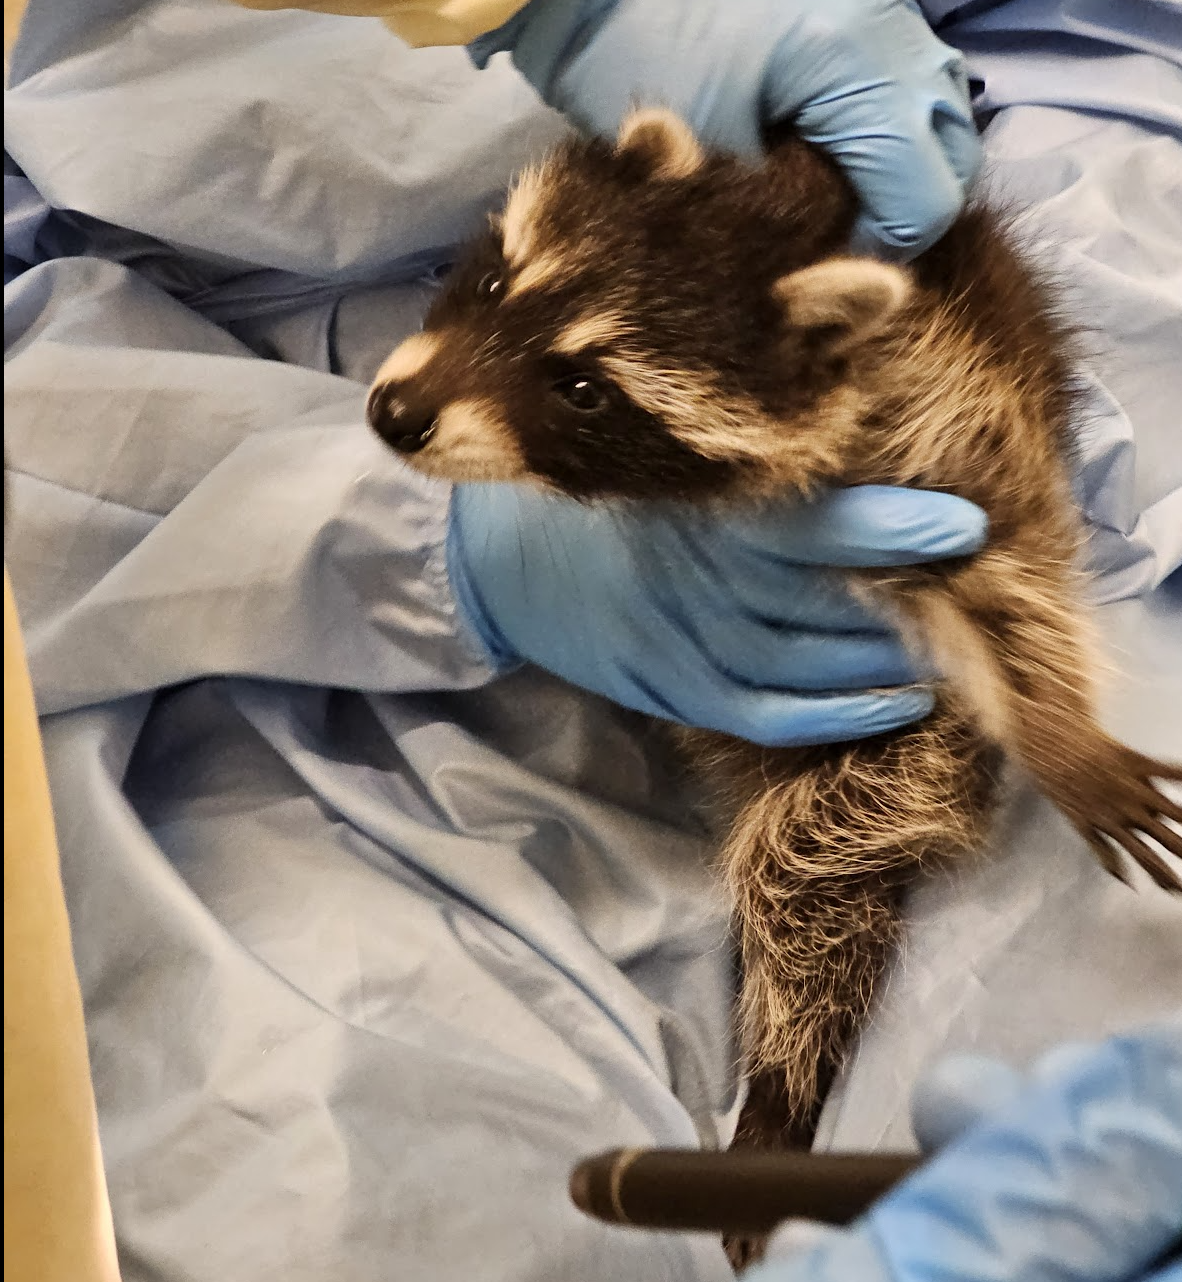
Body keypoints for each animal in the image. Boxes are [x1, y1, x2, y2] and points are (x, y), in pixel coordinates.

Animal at [365, 106, 1182, 1196]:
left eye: (582, 389)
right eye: (498, 283)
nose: (395, 414)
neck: (789, 221)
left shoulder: (949, 410)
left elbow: (1014, 563)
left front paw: (1057, 728)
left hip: (895, 750)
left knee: (808, 876)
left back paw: (784, 1081)